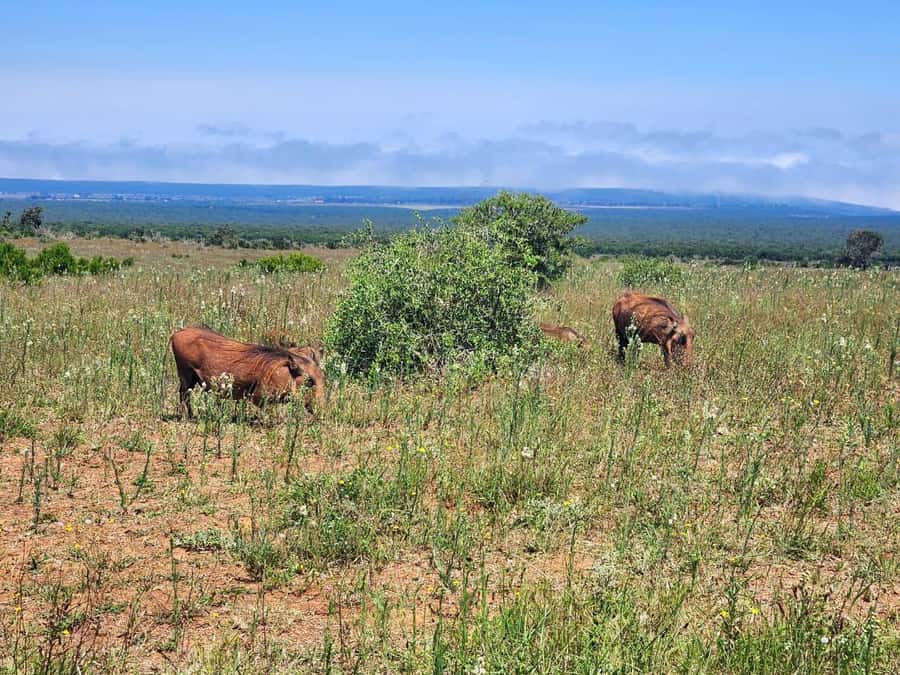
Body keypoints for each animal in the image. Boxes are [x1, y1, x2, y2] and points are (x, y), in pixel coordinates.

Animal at [170, 326, 325, 417]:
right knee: (184, 394)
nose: (322, 412)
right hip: (185, 373)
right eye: (309, 381)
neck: (286, 373)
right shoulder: (259, 396)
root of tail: (177, 333)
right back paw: (187, 416)